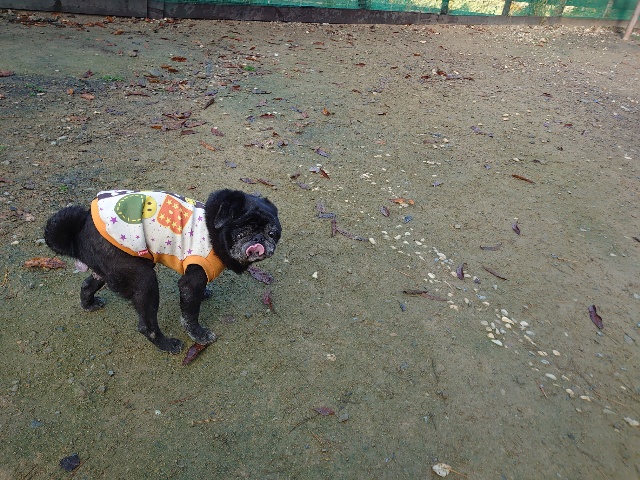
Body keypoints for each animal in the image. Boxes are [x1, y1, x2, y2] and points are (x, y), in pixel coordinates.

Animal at [44, 189, 281, 354]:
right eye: (243, 231)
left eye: (273, 233)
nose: (260, 239)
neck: (213, 230)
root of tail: (79, 235)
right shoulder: (191, 282)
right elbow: (190, 315)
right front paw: (199, 335)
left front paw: (206, 294)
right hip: (143, 278)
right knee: (146, 325)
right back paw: (166, 344)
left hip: (108, 268)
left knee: (87, 284)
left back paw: (89, 304)